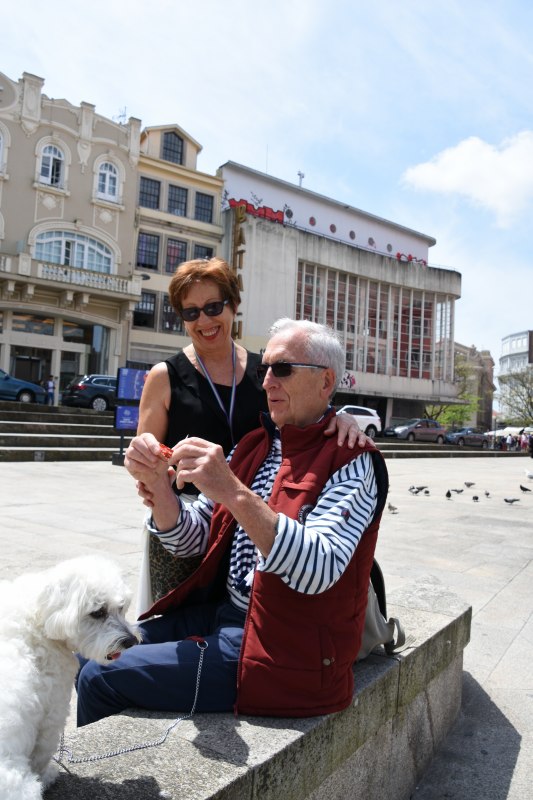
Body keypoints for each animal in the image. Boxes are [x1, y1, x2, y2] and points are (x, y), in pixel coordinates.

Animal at [0, 556, 140, 800]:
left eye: (121, 607)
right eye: (98, 612)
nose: (130, 641)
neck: (40, 616)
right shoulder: (52, 714)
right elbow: (41, 754)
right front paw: (45, 776)